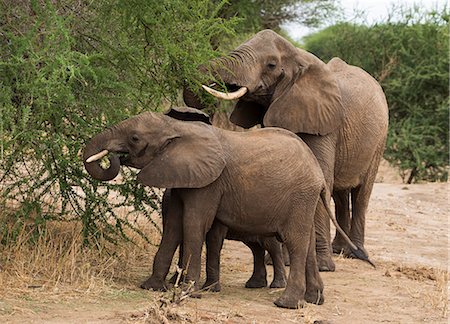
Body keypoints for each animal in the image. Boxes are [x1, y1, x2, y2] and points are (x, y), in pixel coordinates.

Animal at [81, 107, 370, 308]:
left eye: (134, 138)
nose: (113, 157)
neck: (177, 129)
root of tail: (318, 175)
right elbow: (173, 226)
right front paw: (151, 287)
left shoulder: (210, 183)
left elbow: (194, 224)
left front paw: (188, 293)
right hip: (305, 200)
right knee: (306, 242)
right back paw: (314, 300)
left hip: (299, 196)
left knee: (296, 242)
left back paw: (285, 304)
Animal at [185, 29, 388, 270]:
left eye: (271, 64)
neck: (299, 57)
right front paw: (278, 262)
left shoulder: (325, 123)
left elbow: (322, 178)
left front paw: (322, 266)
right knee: (340, 194)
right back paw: (340, 250)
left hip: (380, 139)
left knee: (361, 193)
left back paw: (356, 254)